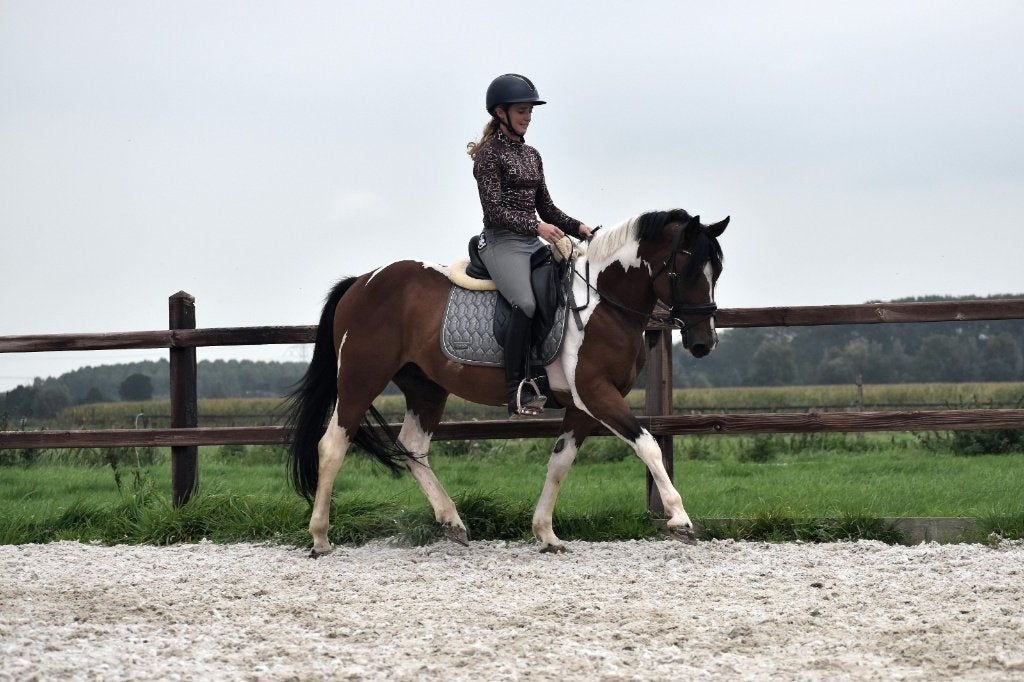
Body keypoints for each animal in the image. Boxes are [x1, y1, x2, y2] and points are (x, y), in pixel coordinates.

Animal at [286, 208, 728, 556]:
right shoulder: (597, 394)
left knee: (412, 446)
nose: (703, 342)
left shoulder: (582, 406)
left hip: (426, 387)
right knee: (332, 445)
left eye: (717, 271)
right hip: (361, 378)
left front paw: (546, 534)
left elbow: (560, 462)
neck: (603, 303)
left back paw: (452, 522)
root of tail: (362, 282)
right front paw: (680, 519)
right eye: (688, 269)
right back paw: (320, 538)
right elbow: (649, 444)